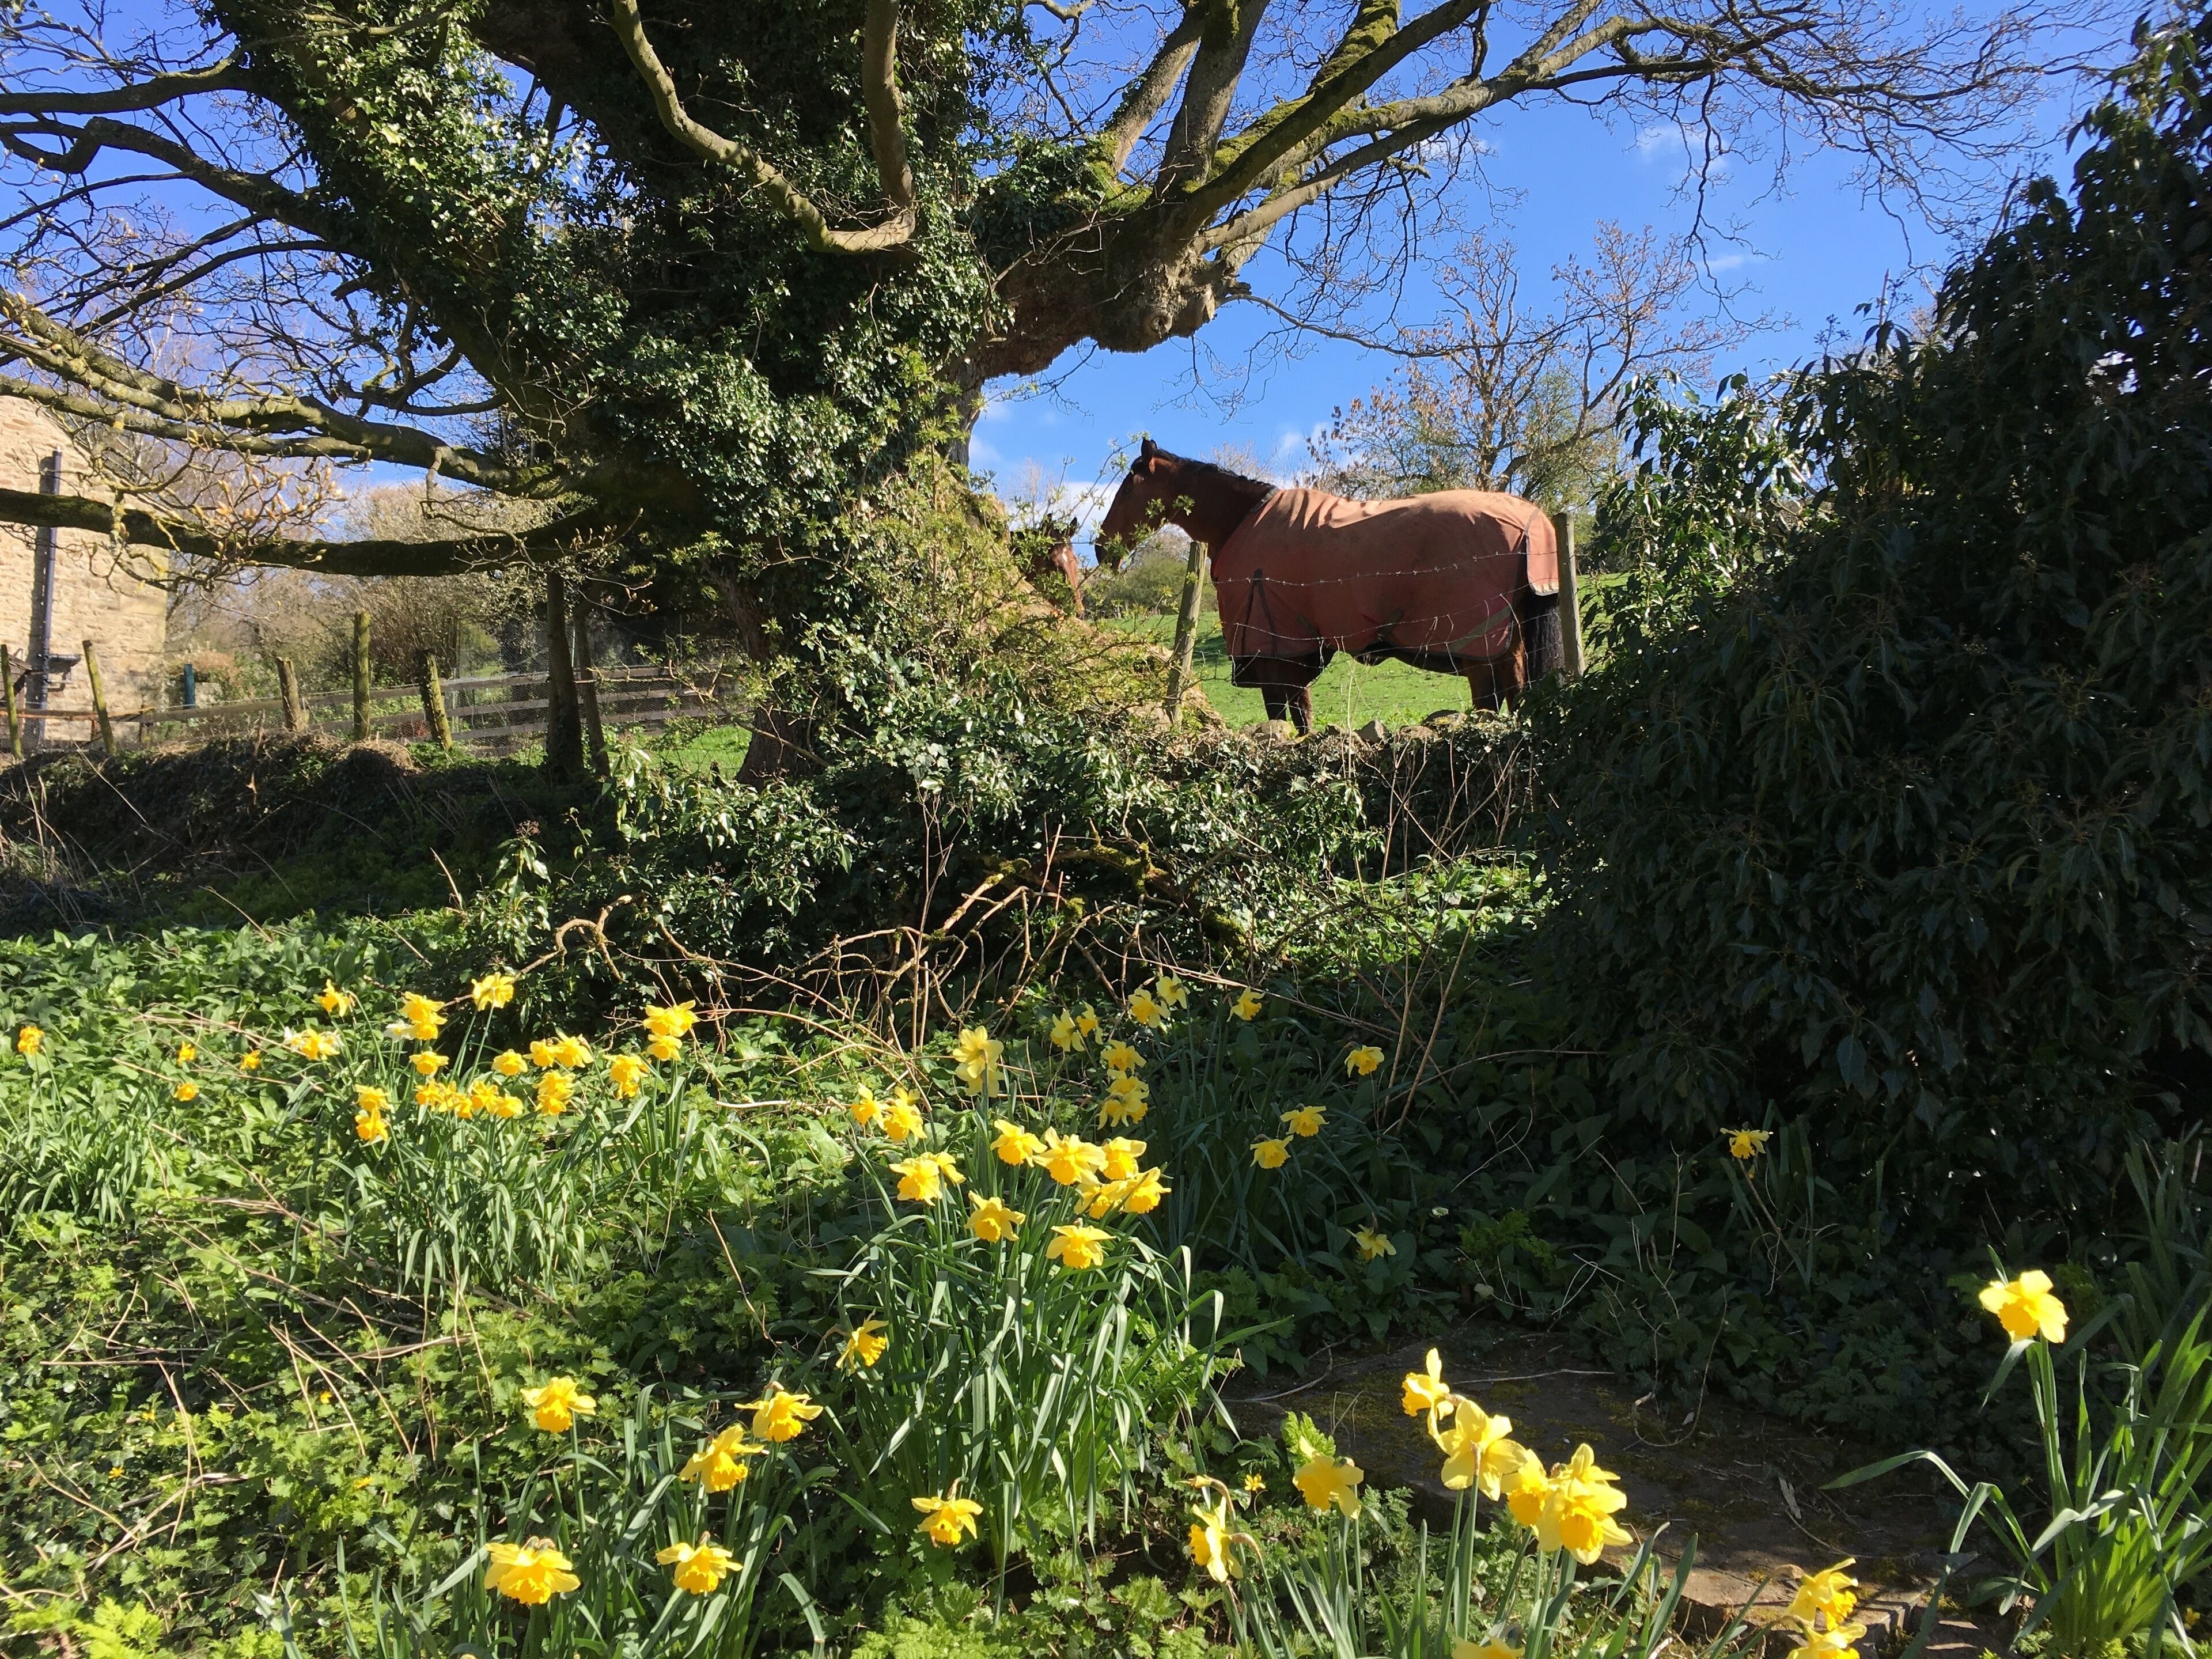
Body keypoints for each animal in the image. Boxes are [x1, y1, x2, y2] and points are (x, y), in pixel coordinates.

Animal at [1095, 440, 1562, 732]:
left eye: (1128, 488)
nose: (1102, 549)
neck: (1242, 521)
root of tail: (1532, 521)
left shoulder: (1273, 654)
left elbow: (1286, 718)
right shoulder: (1292, 653)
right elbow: (1298, 720)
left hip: (1480, 649)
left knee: (1490, 706)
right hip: (1509, 644)